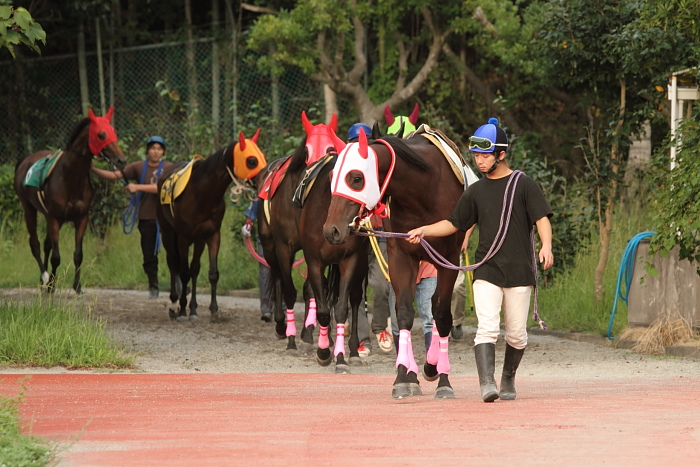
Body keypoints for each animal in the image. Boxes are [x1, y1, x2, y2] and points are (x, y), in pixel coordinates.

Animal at [13, 108, 126, 294]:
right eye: (101, 135)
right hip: (28, 208)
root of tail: (24, 161)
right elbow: (56, 257)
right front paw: (51, 284)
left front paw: (77, 285)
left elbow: (78, 254)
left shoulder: (81, 217)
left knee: (46, 245)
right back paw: (45, 277)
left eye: (114, 132)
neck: (70, 177)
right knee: (35, 244)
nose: (121, 160)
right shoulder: (55, 218)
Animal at [157, 131, 266, 322]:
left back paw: (192, 308)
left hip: (198, 239)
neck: (201, 193)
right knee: (173, 263)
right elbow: (183, 272)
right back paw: (174, 305)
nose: (267, 176)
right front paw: (182, 310)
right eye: (251, 161)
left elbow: (212, 273)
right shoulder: (184, 237)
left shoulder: (212, 234)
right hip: (167, 232)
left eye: (262, 156)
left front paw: (212, 310)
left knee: (194, 268)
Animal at [322, 129, 464, 398]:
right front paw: (403, 378)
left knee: (435, 309)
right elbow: (404, 314)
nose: (330, 230)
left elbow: (441, 315)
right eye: (332, 176)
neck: (423, 192)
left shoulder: (449, 259)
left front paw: (444, 380)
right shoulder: (400, 255)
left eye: (356, 178)